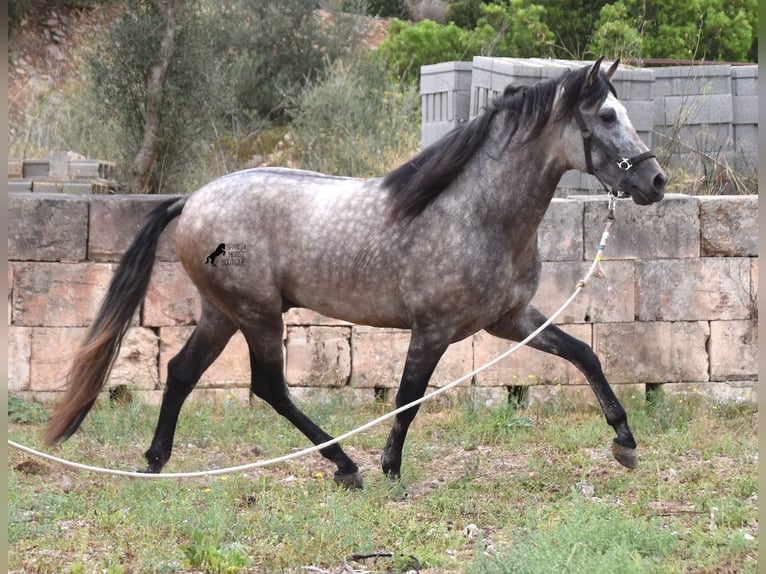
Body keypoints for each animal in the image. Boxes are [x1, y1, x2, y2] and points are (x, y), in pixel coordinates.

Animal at [45, 58, 664, 490]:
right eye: (606, 116)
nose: (655, 181)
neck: (474, 211)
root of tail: (192, 199)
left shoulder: (512, 319)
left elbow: (585, 354)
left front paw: (625, 442)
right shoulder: (433, 329)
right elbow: (408, 397)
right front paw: (390, 468)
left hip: (221, 314)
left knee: (179, 373)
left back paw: (155, 462)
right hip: (257, 314)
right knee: (268, 387)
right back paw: (345, 465)